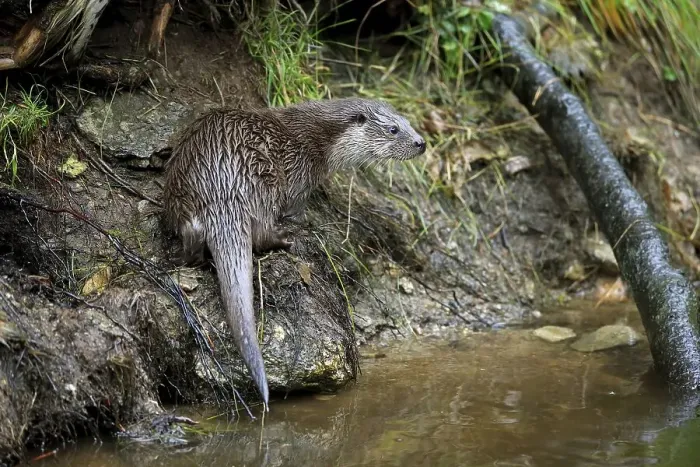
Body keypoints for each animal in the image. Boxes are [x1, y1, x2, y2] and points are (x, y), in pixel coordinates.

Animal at [163, 98, 426, 408]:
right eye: (393, 129)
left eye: (407, 121)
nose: (421, 142)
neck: (318, 139)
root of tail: (223, 189)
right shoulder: (301, 174)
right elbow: (295, 207)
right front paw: (301, 221)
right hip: (264, 180)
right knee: (261, 232)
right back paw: (285, 238)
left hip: (182, 193)